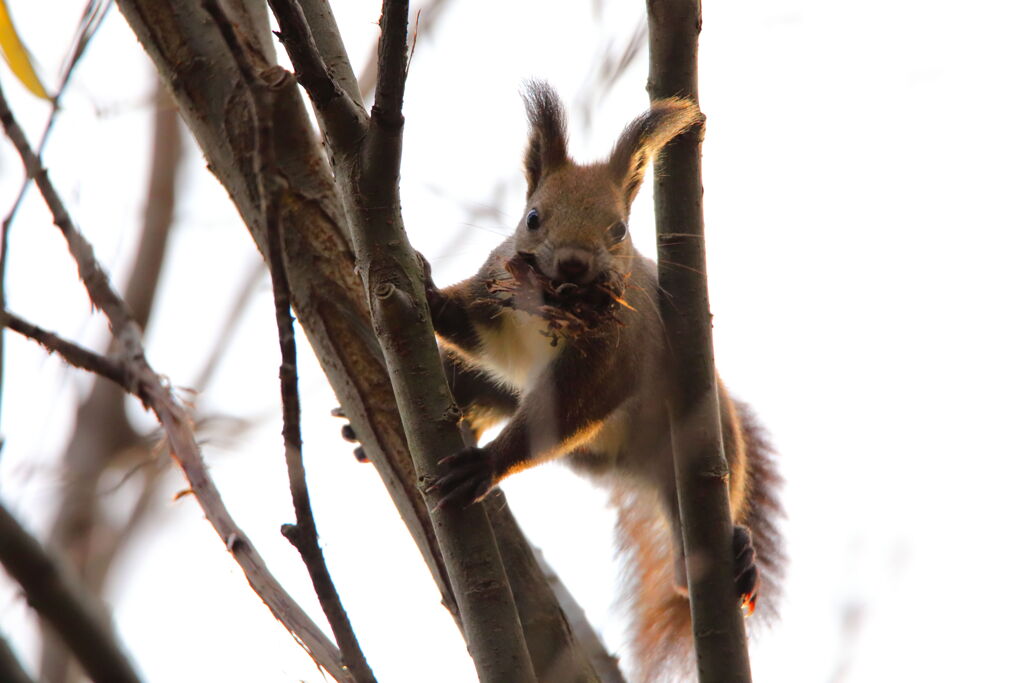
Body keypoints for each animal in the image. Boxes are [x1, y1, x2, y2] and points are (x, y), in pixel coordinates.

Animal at [415, 82, 782, 679]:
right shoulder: (495, 303)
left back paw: (734, 558)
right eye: (532, 217)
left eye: (619, 229)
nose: (572, 264)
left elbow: (572, 408)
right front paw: (426, 296)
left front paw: (486, 465)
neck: (555, 307)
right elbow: (470, 331)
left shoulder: (612, 358)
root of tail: (631, 468)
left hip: (709, 443)